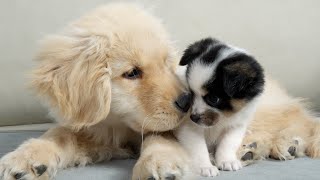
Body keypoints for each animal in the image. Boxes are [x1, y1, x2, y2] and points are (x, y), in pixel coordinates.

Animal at [0, 3, 191, 180]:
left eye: (166, 63)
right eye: (132, 73)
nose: (186, 101)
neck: (119, 125)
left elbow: (160, 136)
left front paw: (159, 161)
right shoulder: (95, 130)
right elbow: (60, 133)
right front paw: (26, 158)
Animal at [176, 37, 264, 176]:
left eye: (213, 99)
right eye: (191, 93)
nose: (193, 117)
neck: (223, 117)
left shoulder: (236, 126)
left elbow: (228, 143)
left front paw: (227, 161)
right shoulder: (190, 128)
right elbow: (198, 148)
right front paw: (205, 166)